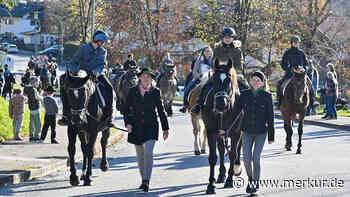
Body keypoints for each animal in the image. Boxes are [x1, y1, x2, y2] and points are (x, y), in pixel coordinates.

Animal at [200, 58, 246, 194]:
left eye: (228, 81)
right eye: (214, 80)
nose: (221, 103)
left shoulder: (236, 133)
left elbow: (232, 154)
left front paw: (229, 180)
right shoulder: (211, 132)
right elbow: (213, 157)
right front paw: (211, 185)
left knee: (237, 149)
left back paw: (236, 168)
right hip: (220, 134)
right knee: (221, 150)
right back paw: (221, 175)